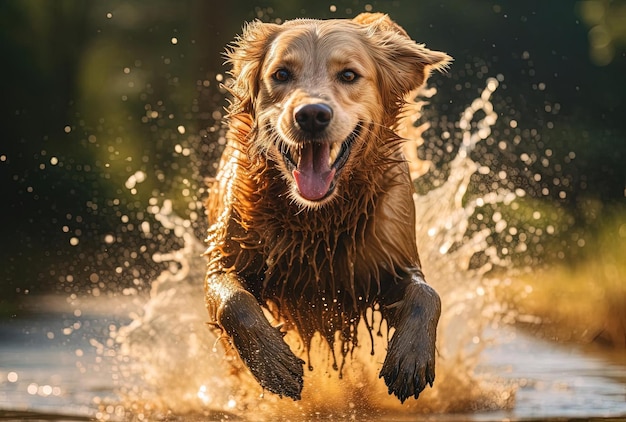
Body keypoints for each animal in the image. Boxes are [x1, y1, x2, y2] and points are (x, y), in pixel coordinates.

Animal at [204, 12, 448, 402]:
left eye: (348, 75)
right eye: (281, 74)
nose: (312, 115)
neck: (317, 218)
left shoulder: (391, 261)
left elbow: (426, 294)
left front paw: (411, 357)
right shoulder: (226, 259)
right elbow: (234, 301)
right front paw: (273, 363)